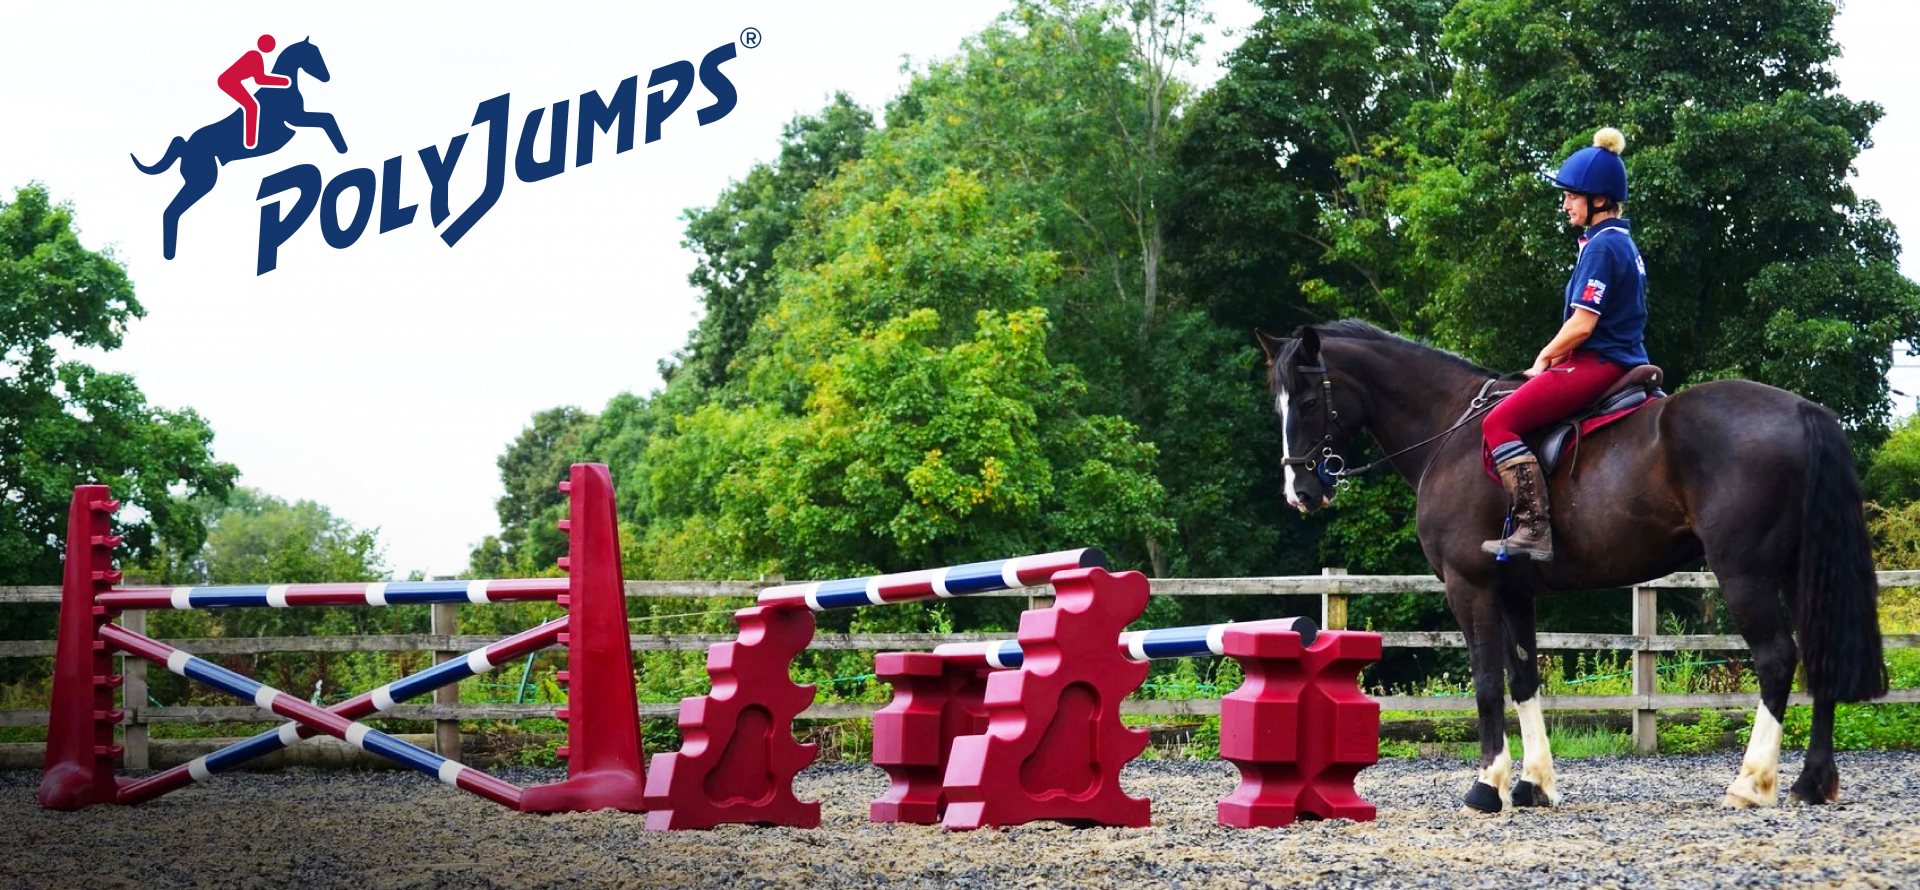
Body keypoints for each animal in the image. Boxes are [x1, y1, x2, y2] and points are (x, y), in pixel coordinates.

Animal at [131, 37, 349, 260]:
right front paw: (342, 148)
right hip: (202, 180)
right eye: (313, 54)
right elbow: (326, 118)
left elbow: (326, 118)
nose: (327, 77)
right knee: (171, 211)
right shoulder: (296, 118)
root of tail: (186, 146)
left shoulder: (298, 118)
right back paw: (170, 252)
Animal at [1258, 321, 1886, 812]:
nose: (1299, 492)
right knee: (1820, 654)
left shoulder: (1470, 587)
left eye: (1308, 402)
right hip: (1797, 569)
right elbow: (1522, 676)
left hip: (1745, 571)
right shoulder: (1514, 591)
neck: (1449, 431)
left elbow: (1486, 681)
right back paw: (1811, 782)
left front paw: (1487, 785)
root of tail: (1802, 408)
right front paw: (1534, 784)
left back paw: (1751, 783)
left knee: (1777, 658)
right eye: (1279, 404)